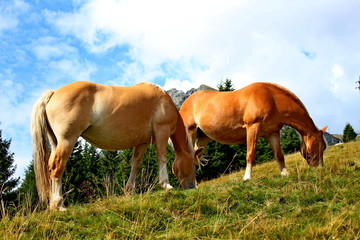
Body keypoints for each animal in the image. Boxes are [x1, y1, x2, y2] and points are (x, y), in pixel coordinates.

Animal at [31, 81, 198, 211]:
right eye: (194, 165)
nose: (192, 186)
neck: (164, 100)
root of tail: (53, 93)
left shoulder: (142, 143)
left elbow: (135, 164)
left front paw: (129, 190)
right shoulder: (161, 132)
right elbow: (162, 157)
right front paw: (166, 185)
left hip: (56, 142)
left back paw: (53, 205)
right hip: (67, 140)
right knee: (57, 168)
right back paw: (59, 205)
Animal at [179, 82, 328, 180]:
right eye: (323, 146)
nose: (320, 168)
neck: (271, 98)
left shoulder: (272, 133)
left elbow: (279, 155)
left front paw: (285, 173)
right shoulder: (252, 127)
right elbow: (250, 154)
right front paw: (247, 178)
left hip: (202, 138)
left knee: (195, 157)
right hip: (190, 132)